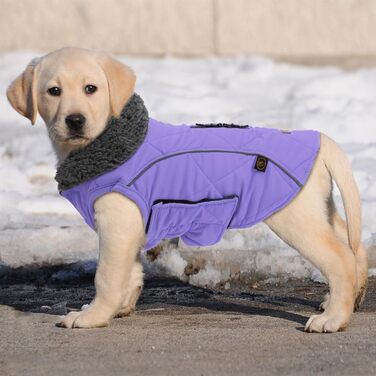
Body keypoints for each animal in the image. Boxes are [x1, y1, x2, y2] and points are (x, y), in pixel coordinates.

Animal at [7, 46, 368, 332]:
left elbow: (107, 275)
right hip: (320, 208)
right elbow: (130, 272)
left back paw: (333, 319)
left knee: (340, 259)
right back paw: (349, 298)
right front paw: (121, 307)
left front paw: (92, 316)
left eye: (91, 88)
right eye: (53, 91)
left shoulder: (117, 223)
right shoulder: (132, 226)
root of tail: (319, 138)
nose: (75, 120)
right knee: (354, 248)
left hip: (295, 217)